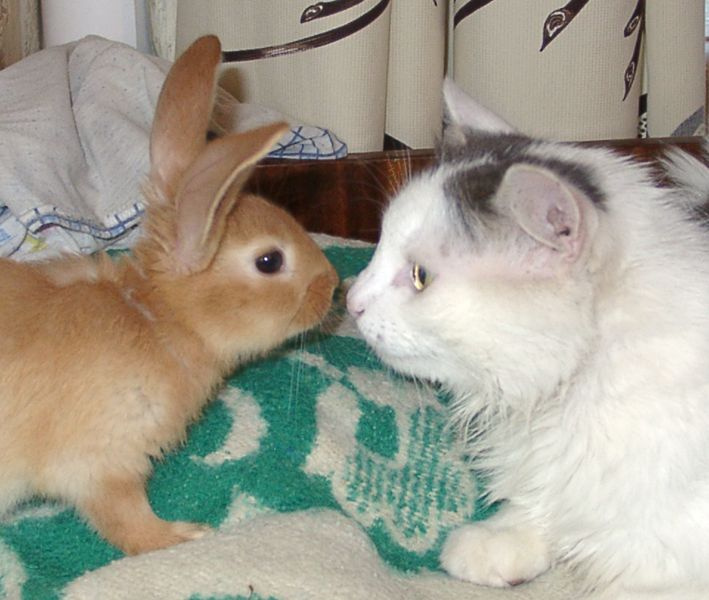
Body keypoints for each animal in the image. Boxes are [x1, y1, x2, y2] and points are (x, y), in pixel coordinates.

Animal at [0, 35, 338, 555]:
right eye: (269, 261)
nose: (335, 286)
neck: (158, 317)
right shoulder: (101, 461)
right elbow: (127, 522)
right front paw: (183, 535)